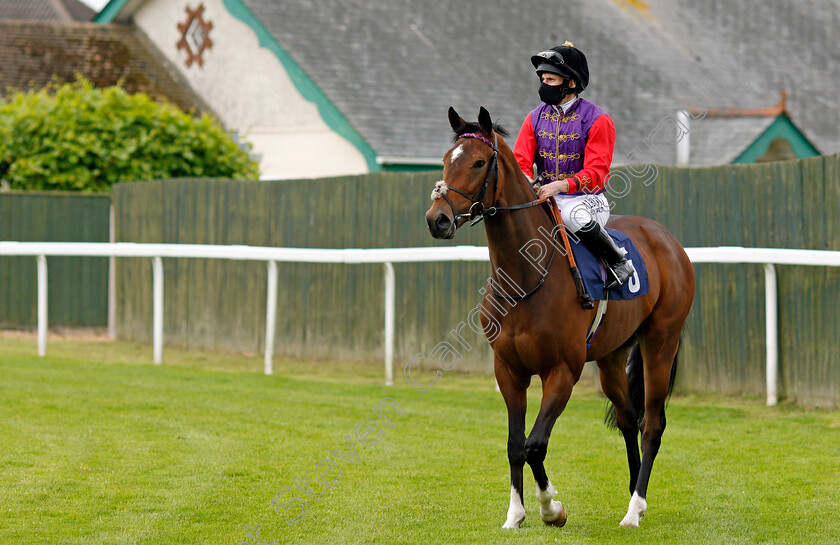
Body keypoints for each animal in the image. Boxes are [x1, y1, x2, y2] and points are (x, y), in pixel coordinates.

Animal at [426, 106, 696, 528]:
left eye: (478, 162)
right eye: (445, 160)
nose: (436, 219)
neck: (526, 277)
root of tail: (666, 239)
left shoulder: (562, 371)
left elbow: (535, 444)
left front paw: (551, 508)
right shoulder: (509, 370)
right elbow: (514, 444)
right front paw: (515, 514)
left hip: (660, 342)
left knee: (652, 424)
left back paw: (635, 510)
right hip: (611, 356)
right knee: (627, 418)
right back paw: (633, 495)